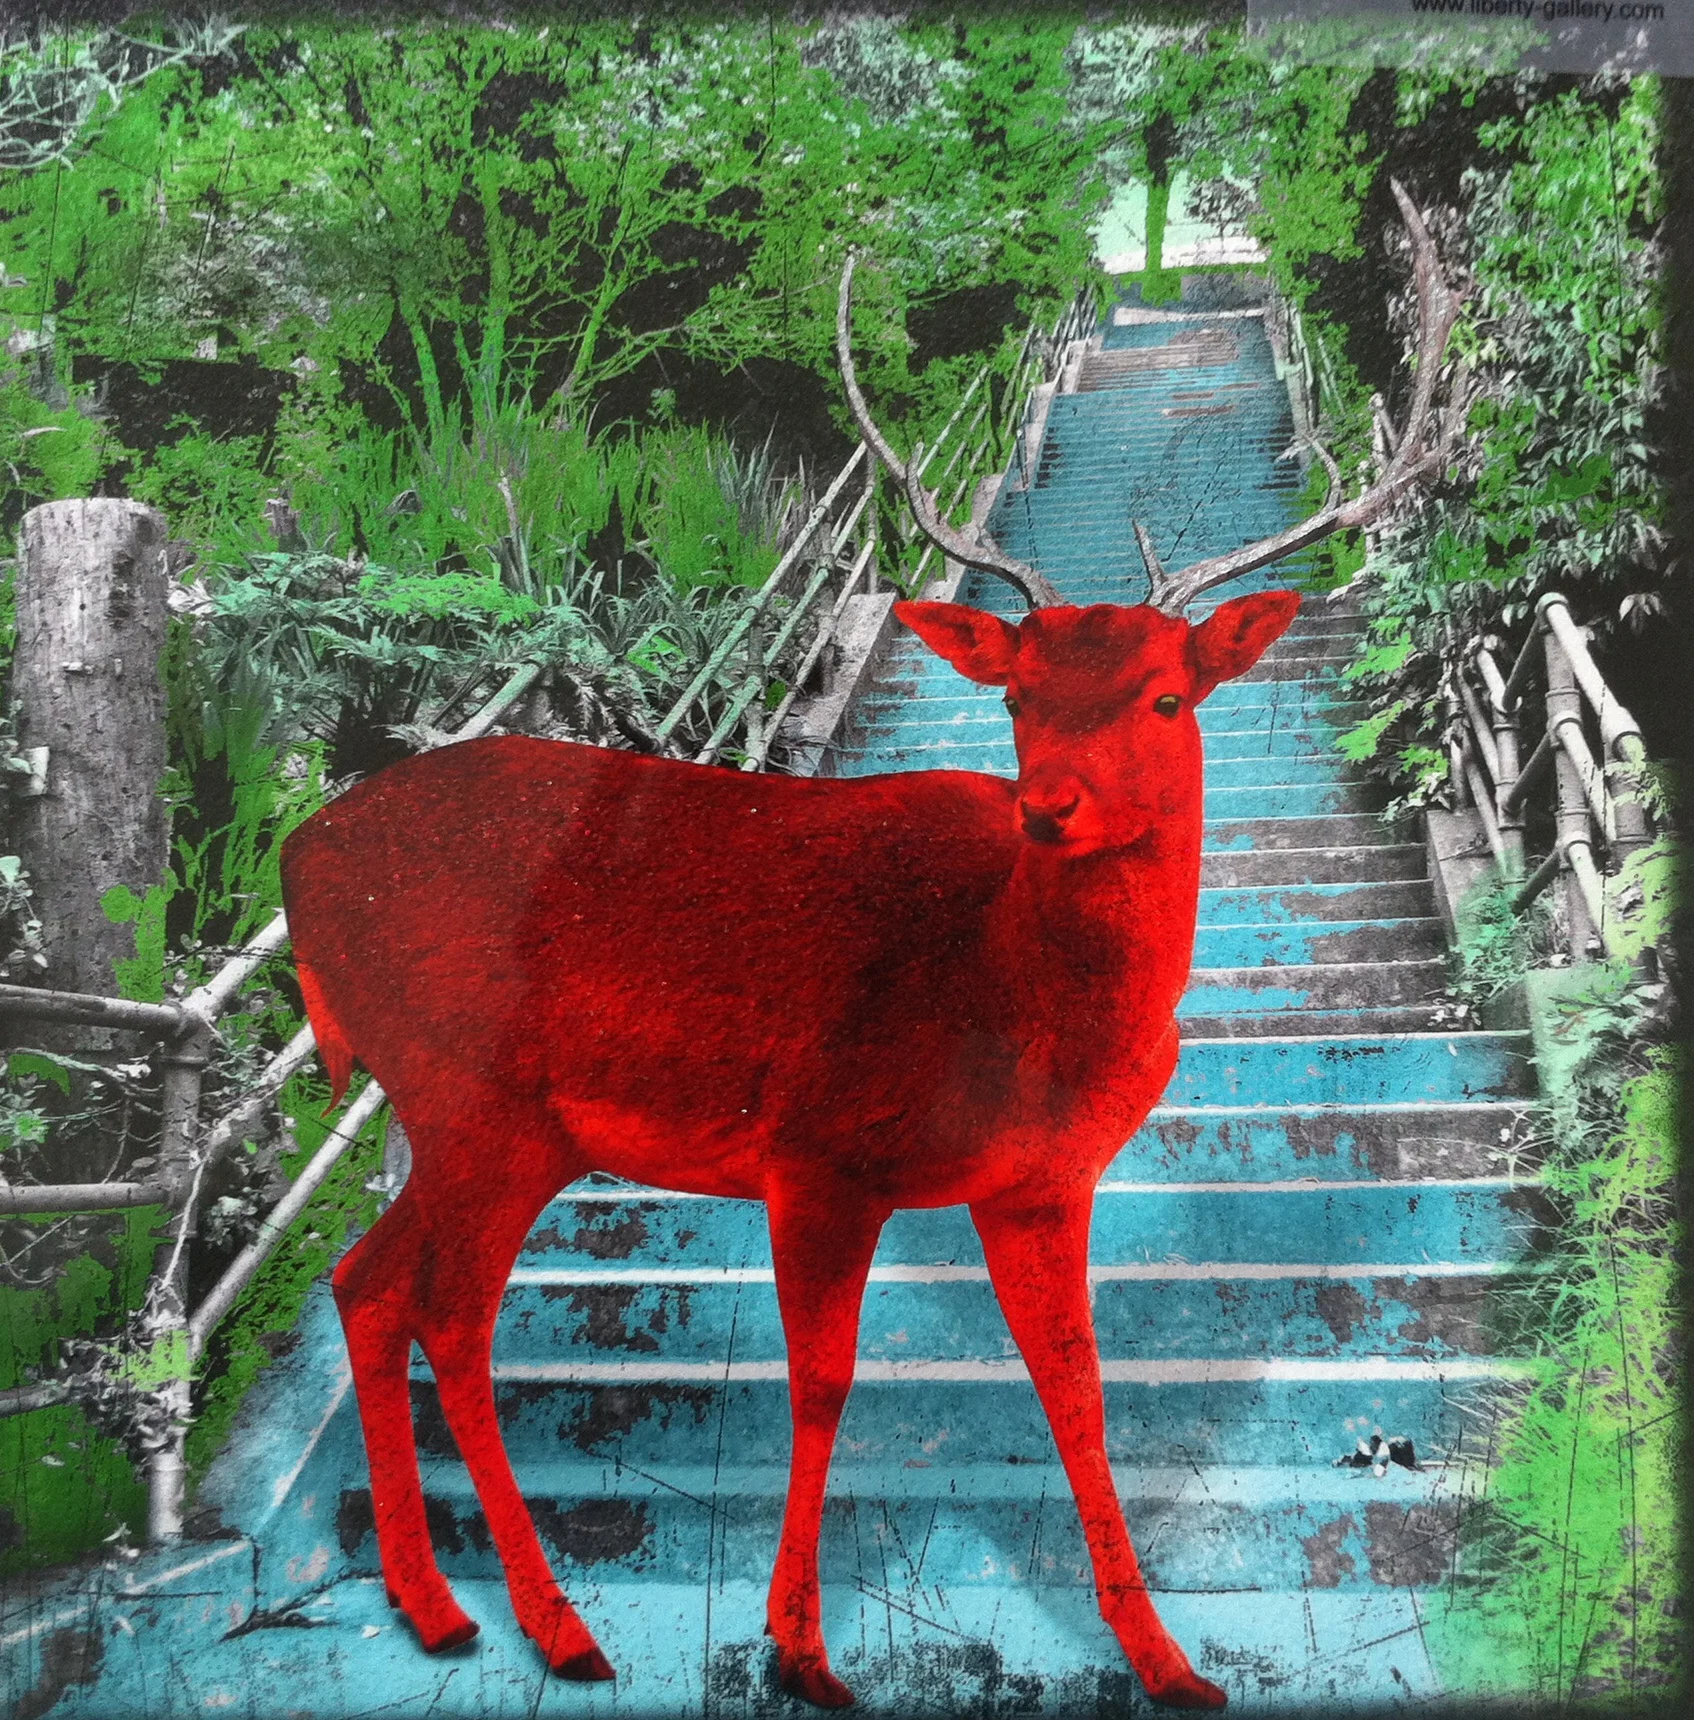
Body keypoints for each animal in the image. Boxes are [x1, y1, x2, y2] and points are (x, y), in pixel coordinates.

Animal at [280, 182, 1459, 1711]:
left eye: (1163, 694)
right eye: (1014, 697)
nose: (1046, 805)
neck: (1021, 1013)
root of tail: (297, 860)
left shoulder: (1040, 1183)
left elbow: (1078, 1392)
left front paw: (1166, 1662)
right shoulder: (817, 1152)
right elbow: (823, 1382)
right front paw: (800, 1649)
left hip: (490, 1122)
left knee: (366, 1286)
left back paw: (440, 1609)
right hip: (471, 1097)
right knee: (446, 1316)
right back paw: (553, 1626)